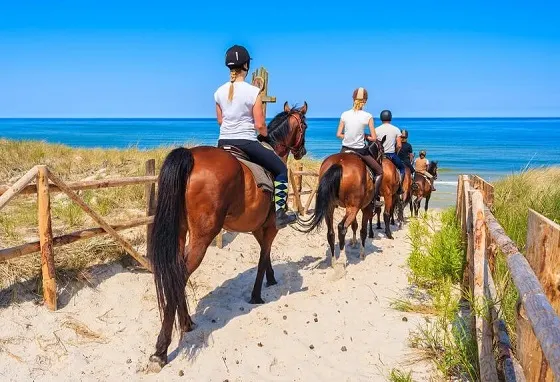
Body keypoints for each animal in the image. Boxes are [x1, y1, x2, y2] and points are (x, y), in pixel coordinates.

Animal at [147, 100, 308, 368]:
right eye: (304, 126)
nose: (302, 151)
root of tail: (190, 156)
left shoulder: (257, 227)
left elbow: (266, 255)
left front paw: (271, 279)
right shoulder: (271, 226)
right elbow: (263, 257)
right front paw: (257, 295)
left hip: (180, 233)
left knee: (176, 273)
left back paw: (187, 323)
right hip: (202, 236)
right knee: (181, 275)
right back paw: (161, 349)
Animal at [298, 137, 384, 266]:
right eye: (383, 152)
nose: (381, 163)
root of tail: (339, 163)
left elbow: (354, 225)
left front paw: (353, 242)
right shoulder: (366, 208)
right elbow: (362, 231)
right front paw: (362, 253)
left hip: (331, 207)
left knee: (331, 233)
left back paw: (334, 261)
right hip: (353, 208)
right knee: (341, 228)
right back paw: (342, 259)